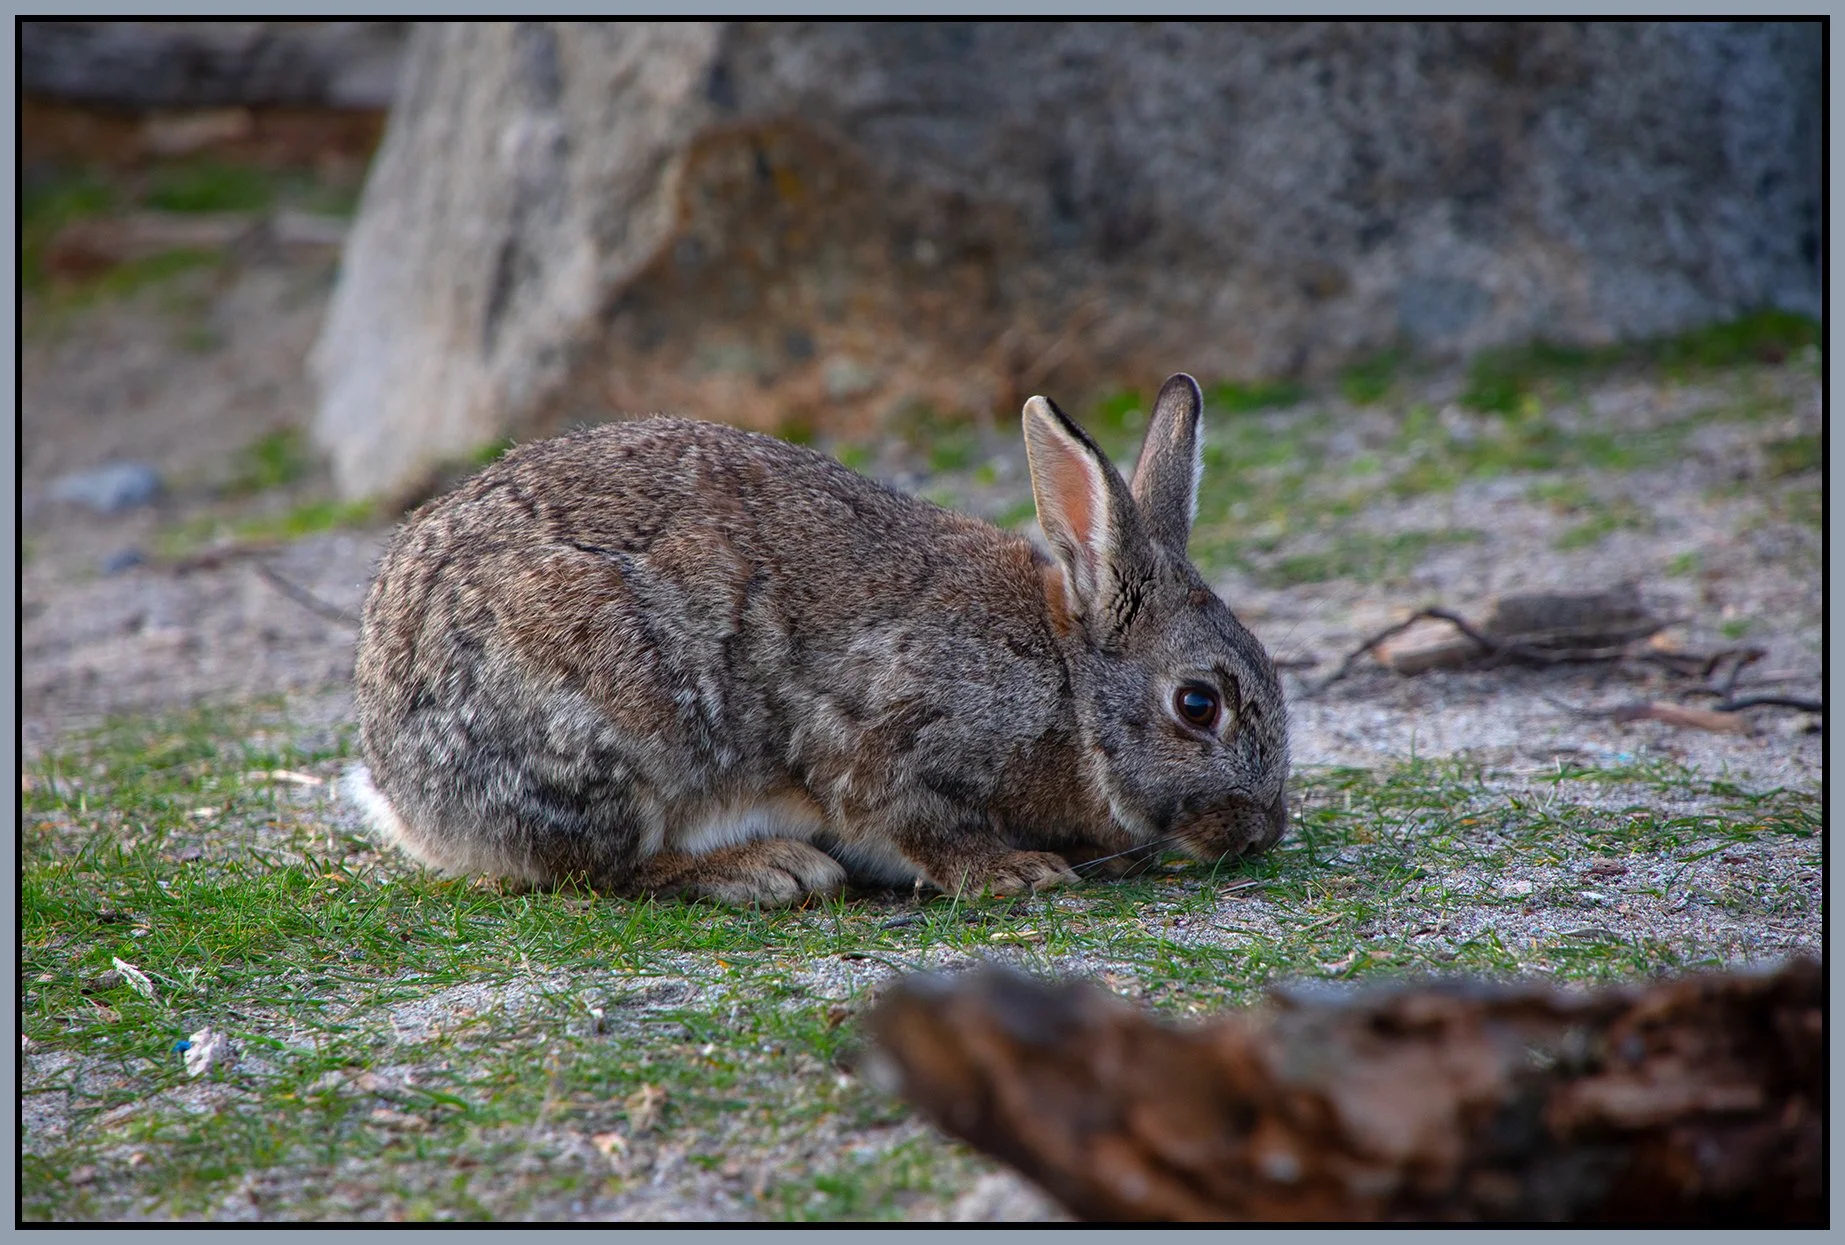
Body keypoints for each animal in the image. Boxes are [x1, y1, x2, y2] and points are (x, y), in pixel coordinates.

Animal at [347, 372, 1290, 905]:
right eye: (1197, 704)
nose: (1264, 830)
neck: (1067, 681)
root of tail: (401, 789)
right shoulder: (885, 741)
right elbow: (915, 821)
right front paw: (1015, 874)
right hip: (607, 722)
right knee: (598, 866)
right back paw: (765, 870)